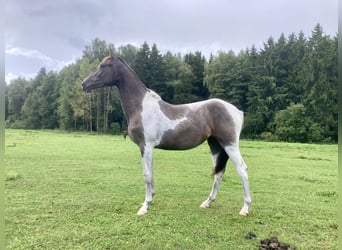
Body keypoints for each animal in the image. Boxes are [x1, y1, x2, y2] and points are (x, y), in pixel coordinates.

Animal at [80, 55, 251, 217]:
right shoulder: (147, 148)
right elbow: (151, 172)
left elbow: (147, 174)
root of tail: (236, 110)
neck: (141, 107)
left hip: (229, 144)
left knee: (242, 170)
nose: (84, 84)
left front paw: (145, 206)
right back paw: (207, 202)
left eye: (103, 65)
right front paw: (151, 199)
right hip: (215, 145)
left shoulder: (146, 146)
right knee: (219, 173)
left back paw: (245, 208)